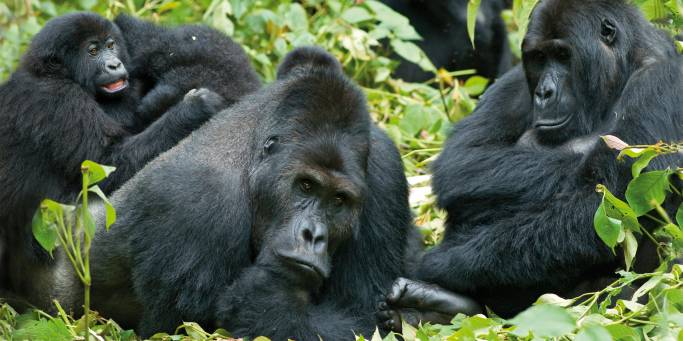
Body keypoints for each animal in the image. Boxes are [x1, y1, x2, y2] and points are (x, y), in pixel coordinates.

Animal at [37, 47, 416, 338]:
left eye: (339, 200)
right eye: (305, 186)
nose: (313, 235)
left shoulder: (385, 170)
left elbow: (360, 312)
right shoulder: (193, 201)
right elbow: (178, 330)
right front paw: (267, 297)